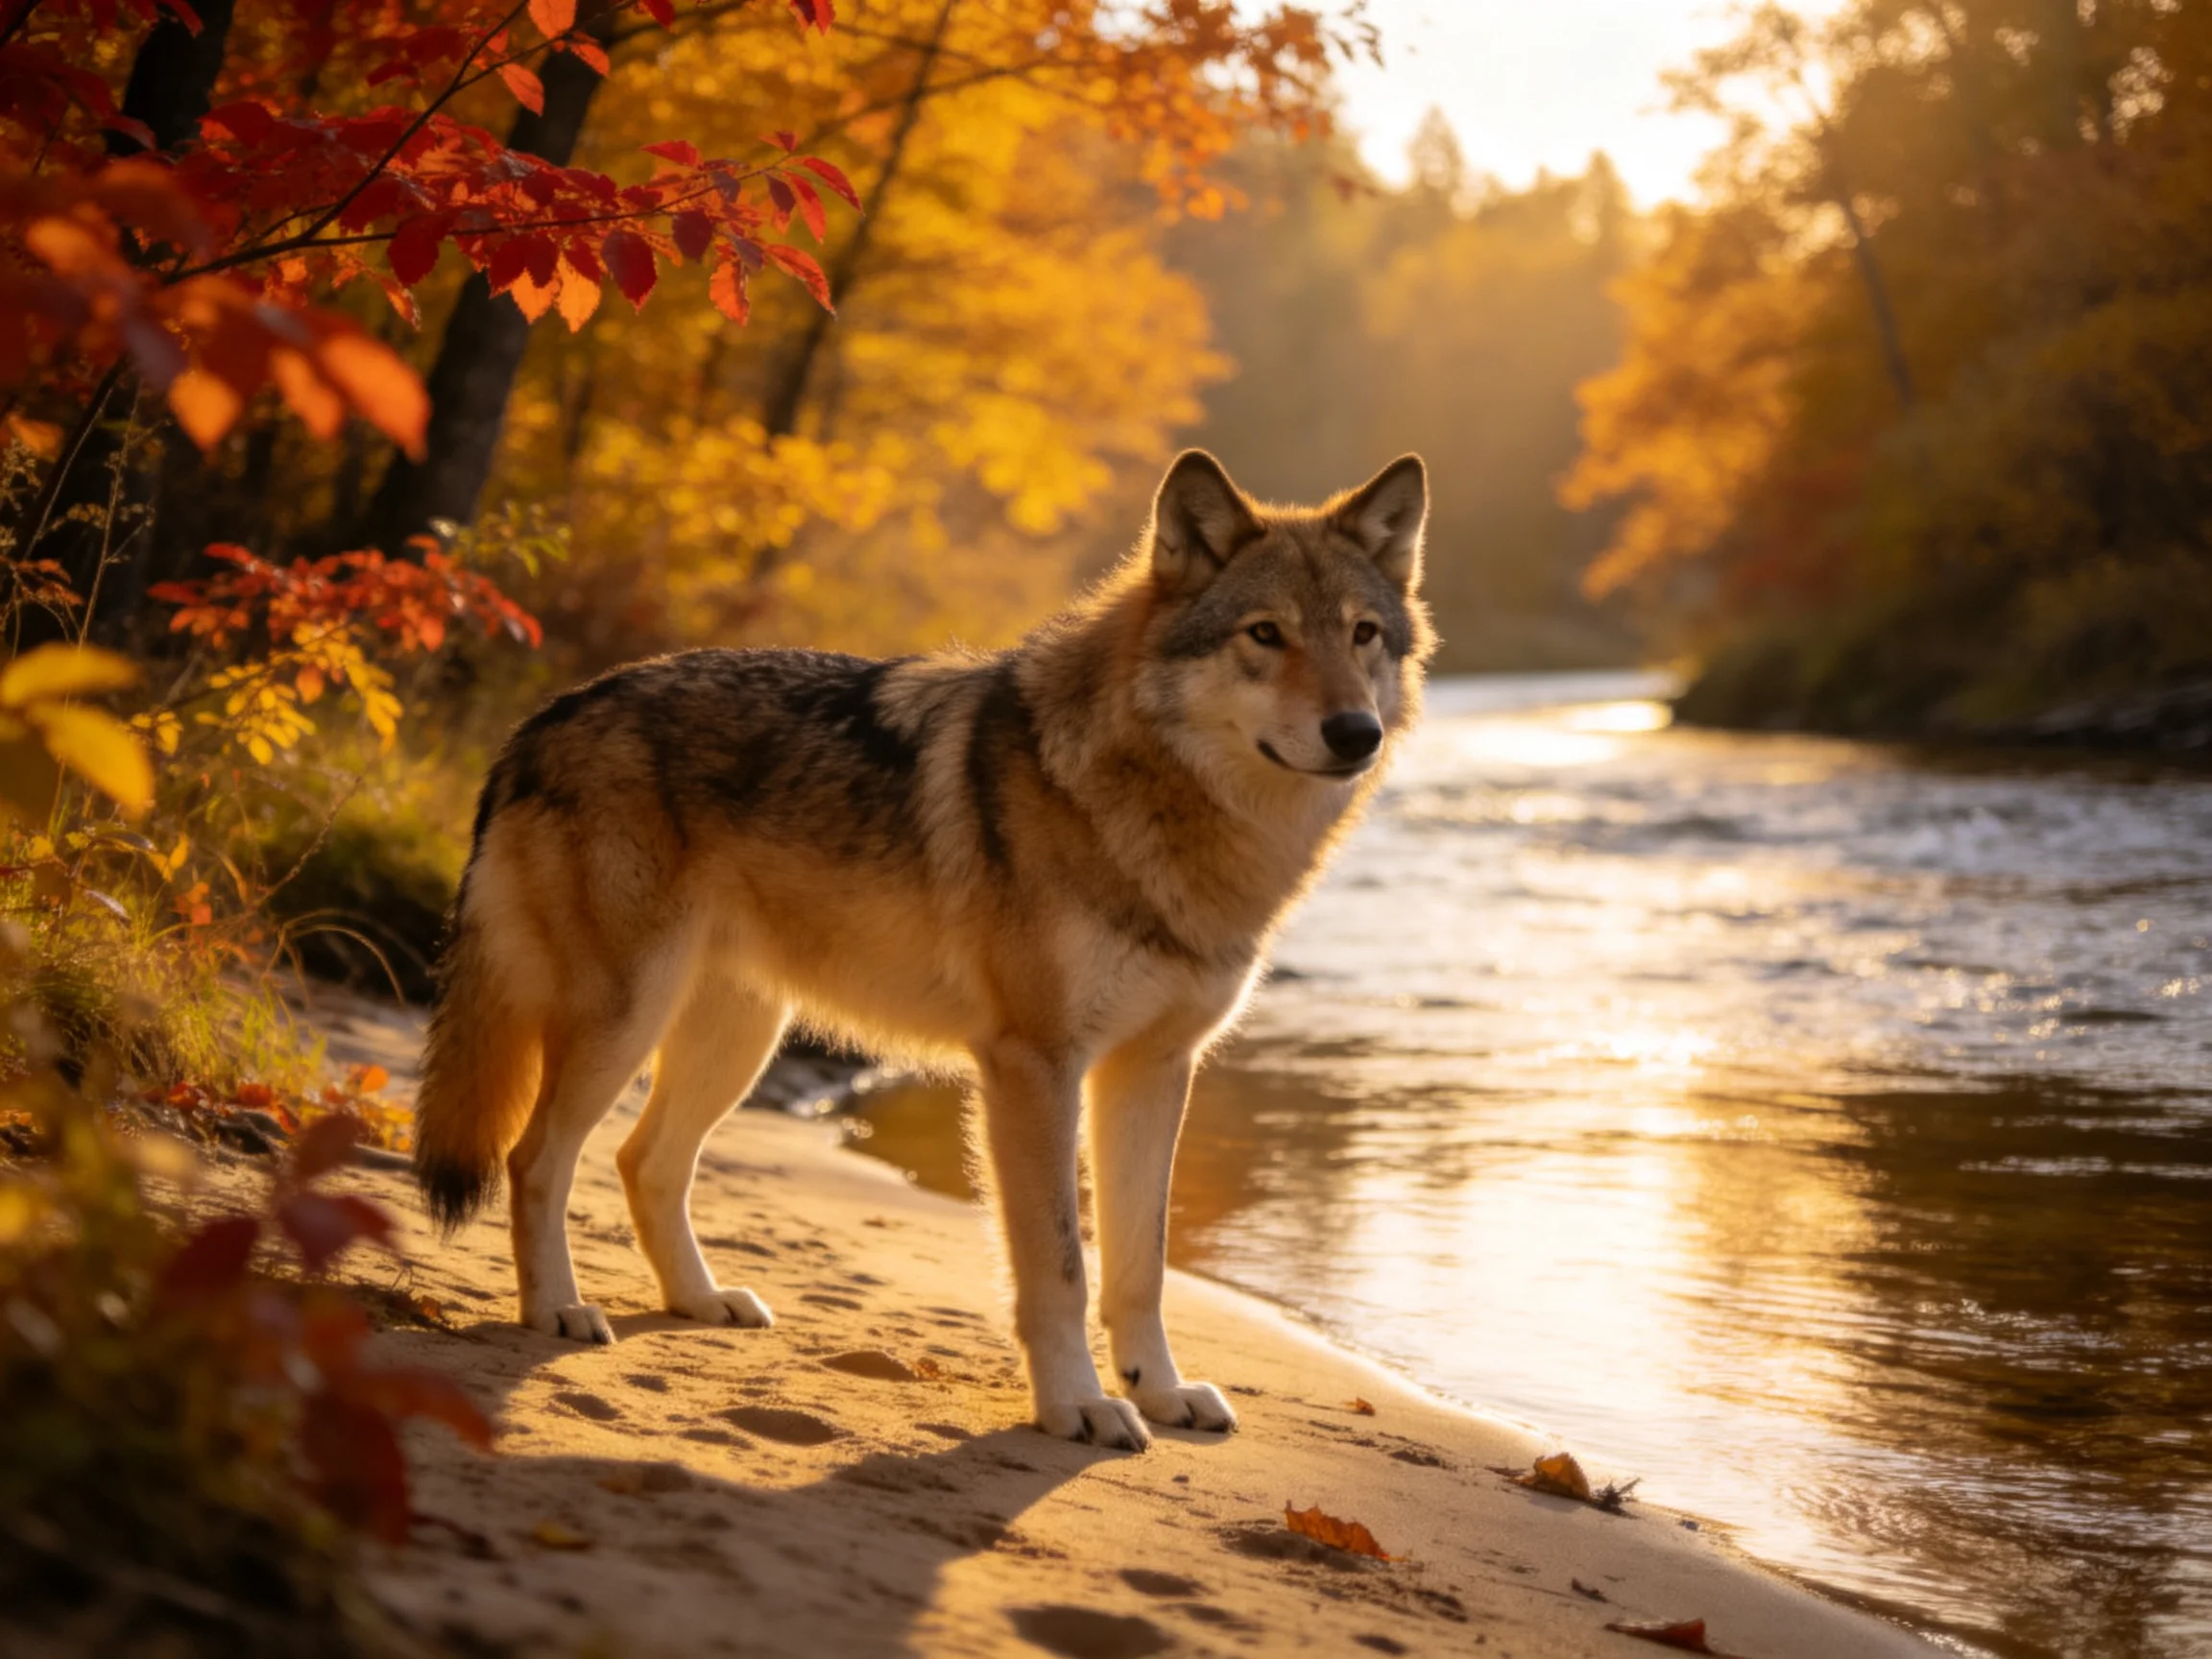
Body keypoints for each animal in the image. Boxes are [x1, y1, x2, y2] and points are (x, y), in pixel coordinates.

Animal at [412, 449, 1433, 1450]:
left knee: (643, 1162)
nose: (1357, 732)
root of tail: (541, 719)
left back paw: (699, 1301)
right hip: (626, 1024)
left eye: (1363, 635)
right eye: (1265, 634)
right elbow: (1061, 1264)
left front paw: (1164, 1392)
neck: (1159, 808)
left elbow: (1142, 1263)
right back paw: (558, 1310)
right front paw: (1079, 1407)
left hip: (736, 1041)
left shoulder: (1153, 1070)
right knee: (535, 1158)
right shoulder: (1034, 1068)